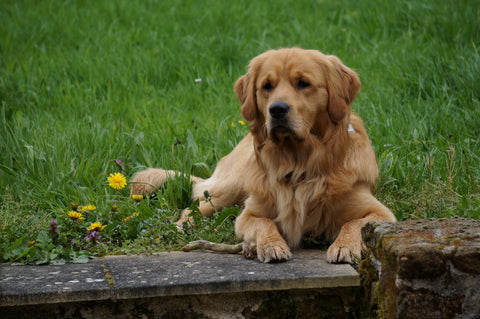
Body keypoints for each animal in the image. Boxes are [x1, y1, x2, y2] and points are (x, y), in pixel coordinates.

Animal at [129, 47, 396, 262]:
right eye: (267, 86)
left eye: (303, 83)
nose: (277, 109)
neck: (298, 164)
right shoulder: (248, 215)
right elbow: (263, 222)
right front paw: (270, 245)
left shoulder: (381, 214)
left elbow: (353, 224)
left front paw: (344, 246)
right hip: (230, 188)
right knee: (192, 208)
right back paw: (177, 228)